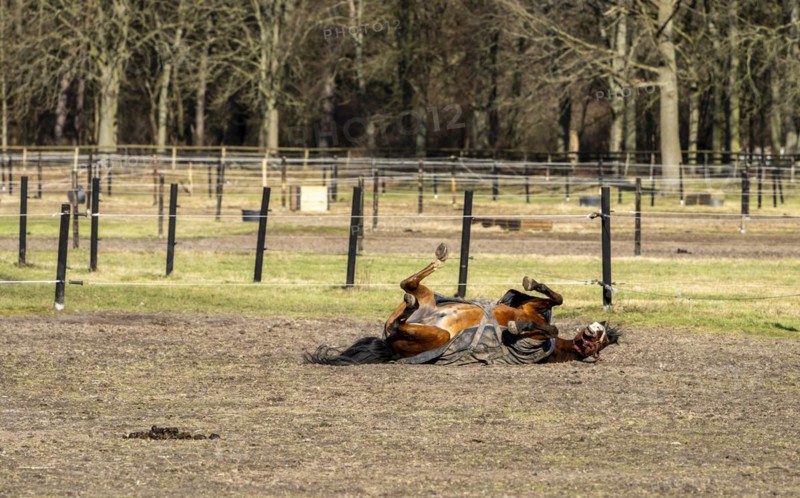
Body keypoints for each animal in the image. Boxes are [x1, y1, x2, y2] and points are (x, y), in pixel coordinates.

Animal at [305, 244, 620, 365]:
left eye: (601, 341)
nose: (595, 328)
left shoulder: (536, 340)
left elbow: (547, 329)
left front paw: (516, 326)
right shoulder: (530, 307)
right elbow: (553, 299)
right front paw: (533, 283)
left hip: (437, 335)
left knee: (397, 321)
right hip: (427, 299)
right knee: (408, 286)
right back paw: (439, 258)